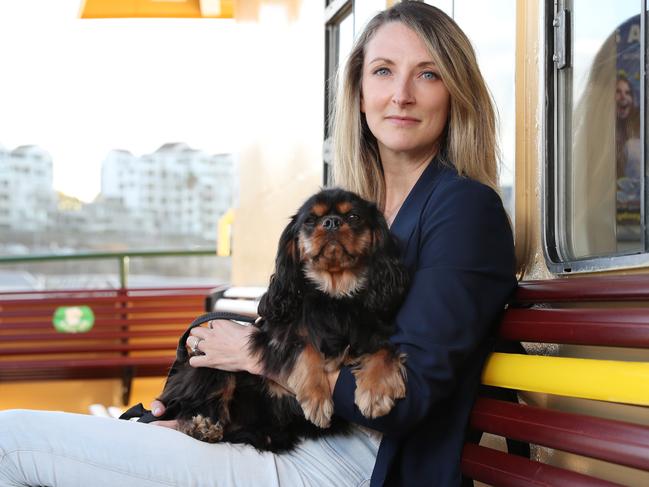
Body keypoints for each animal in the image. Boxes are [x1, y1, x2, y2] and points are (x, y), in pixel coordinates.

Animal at [155, 188, 408, 454]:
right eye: (310, 220)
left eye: (353, 216)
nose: (331, 222)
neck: (333, 295)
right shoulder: (273, 338)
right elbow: (303, 348)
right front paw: (317, 398)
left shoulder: (372, 335)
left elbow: (386, 351)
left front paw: (377, 392)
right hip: (210, 367)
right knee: (195, 404)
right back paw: (201, 427)